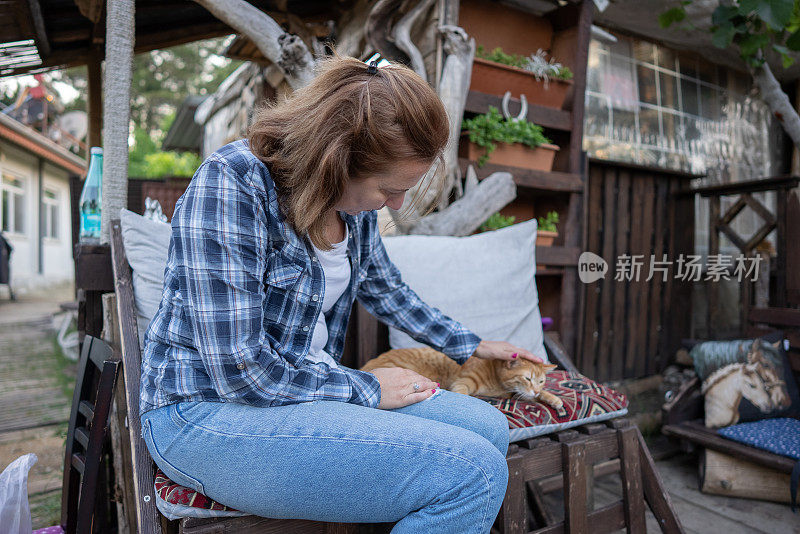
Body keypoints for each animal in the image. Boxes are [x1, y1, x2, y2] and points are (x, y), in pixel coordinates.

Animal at [362, 348, 564, 410]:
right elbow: (462, 391)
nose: (536, 389)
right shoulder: (462, 382)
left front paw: (552, 398)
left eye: (541, 381)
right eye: (527, 378)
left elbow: (534, 395)